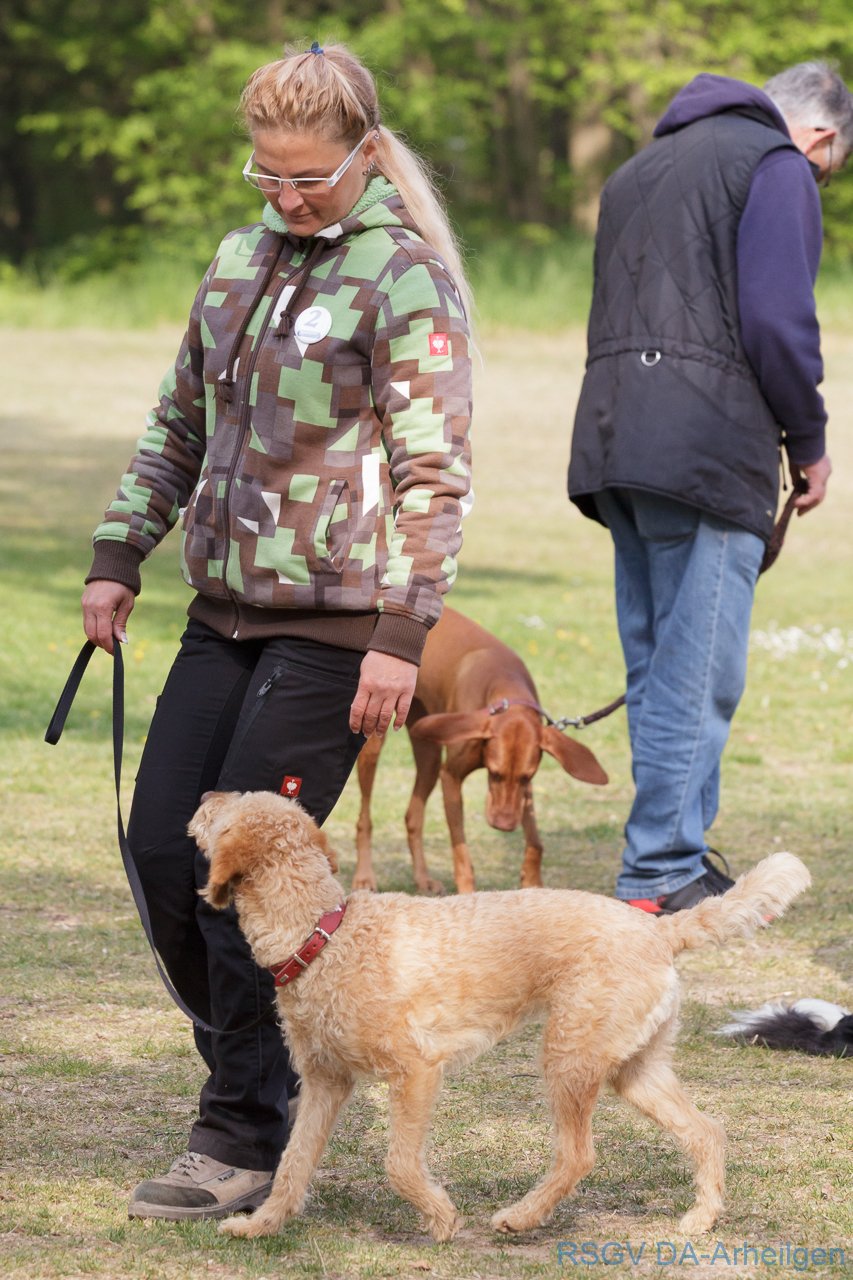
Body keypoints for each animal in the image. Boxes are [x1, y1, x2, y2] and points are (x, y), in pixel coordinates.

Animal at [190, 789, 811, 1243]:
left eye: (230, 803)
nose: (204, 790)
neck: (324, 934)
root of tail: (659, 929)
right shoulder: (325, 1082)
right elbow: (293, 1165)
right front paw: (261, 1225)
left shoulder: (416, 1072)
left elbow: (399, 1164)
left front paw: (441, 1220)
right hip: (634, 1070)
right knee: (706, 1131)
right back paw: (701, 1218)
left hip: (569, 1060)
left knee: (579, 1155)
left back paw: (522, 1216)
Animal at [353, 605, 608, 895]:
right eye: (495, 774)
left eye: (526, 777)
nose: (504, 825)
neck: (505, 684)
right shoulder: (451, 776)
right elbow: (461, 852)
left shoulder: (525, 789)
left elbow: (535, 840)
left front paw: (533, 882)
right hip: (374, 738)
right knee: (364, 818)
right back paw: (364, 876)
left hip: (428, 754)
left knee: (413, 818)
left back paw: (422, 878)